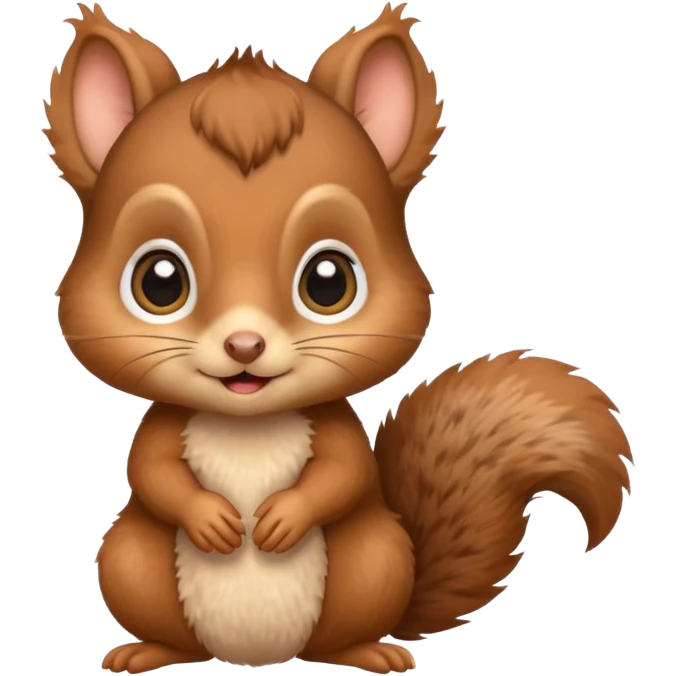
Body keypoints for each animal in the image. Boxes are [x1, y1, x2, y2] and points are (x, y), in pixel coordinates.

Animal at [45, 3, 633, 674]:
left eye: (329, 281)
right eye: (158, 280)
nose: (244, 346)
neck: (248, 421)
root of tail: (257, 657)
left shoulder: (335, 428)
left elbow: (346, 473)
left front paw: (281, 517)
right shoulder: (163, 427)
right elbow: (150, 470)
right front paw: (212, 517)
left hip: (372, 561)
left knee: (342, 633)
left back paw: (369, 651)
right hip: (130, 562)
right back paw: (147, 649)